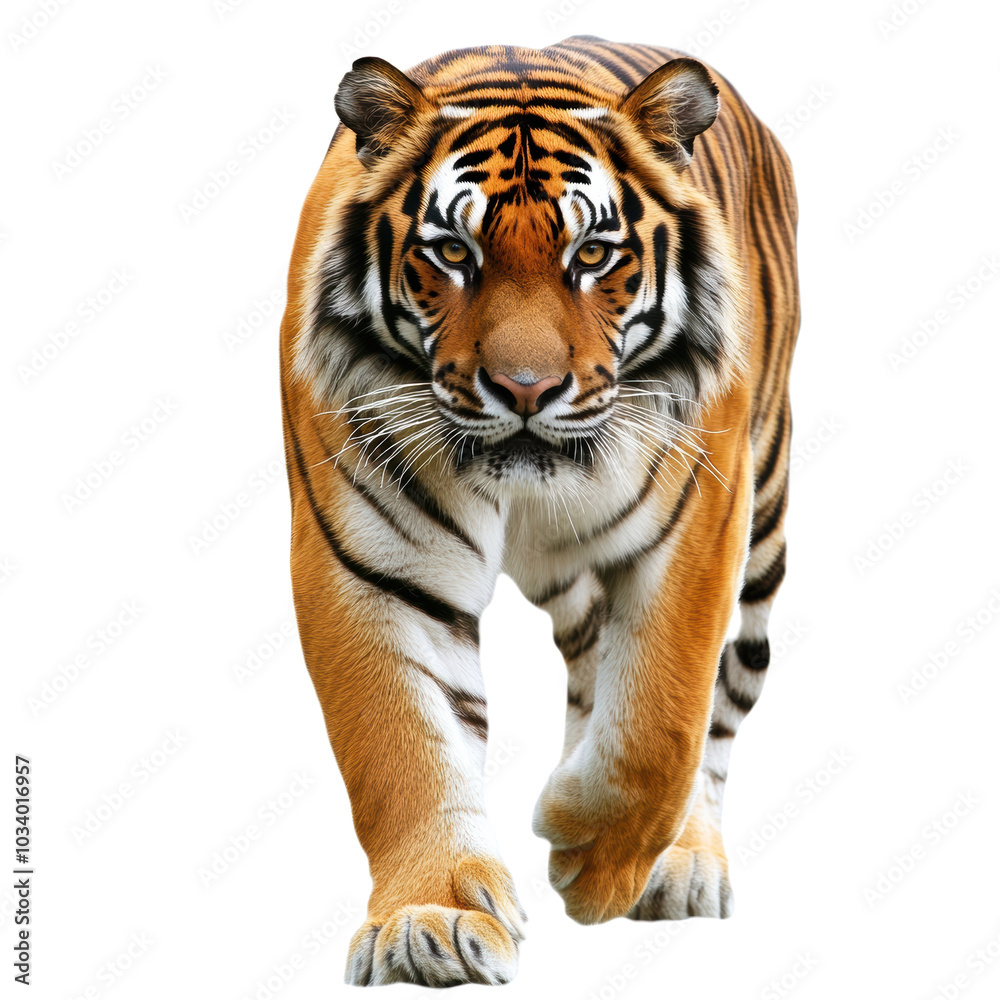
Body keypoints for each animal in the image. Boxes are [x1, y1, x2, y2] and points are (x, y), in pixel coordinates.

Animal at [279, 35, 799, 987]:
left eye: (591, 256)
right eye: (453, 252)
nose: (525, 389)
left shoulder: (699, 524)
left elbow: (662, 718)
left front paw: (595, 858)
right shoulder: (372, 563)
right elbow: (402, 744)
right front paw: (431, 919)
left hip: (763, 518)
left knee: (720, 698)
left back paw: (679, 862)